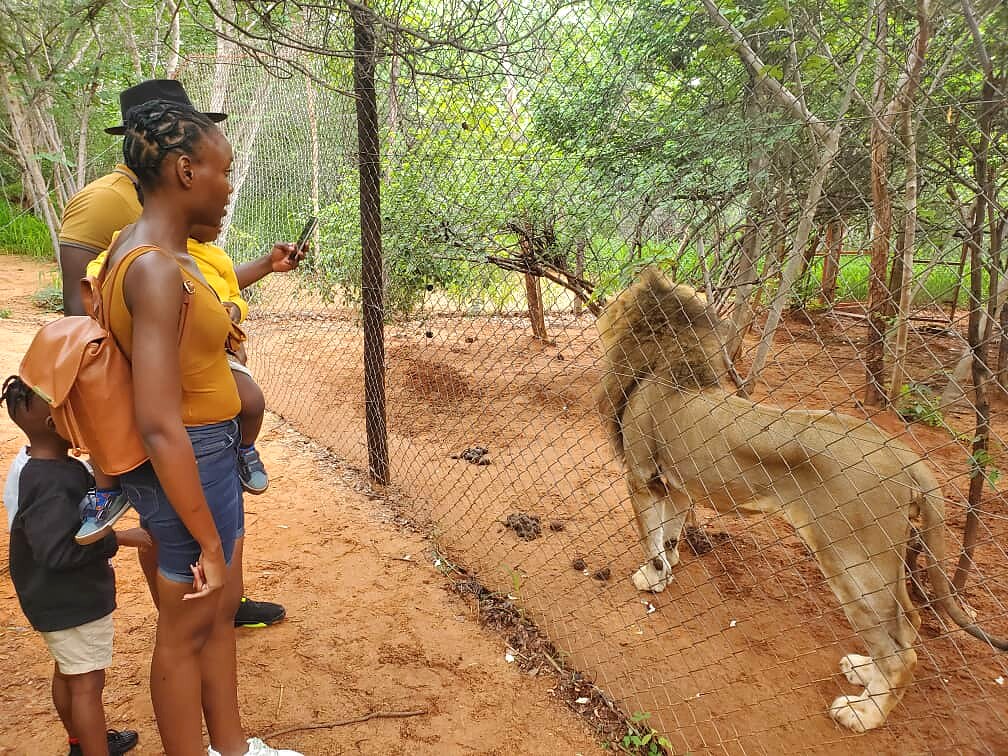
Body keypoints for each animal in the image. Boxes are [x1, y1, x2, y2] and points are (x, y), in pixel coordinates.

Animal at [596, 266, 1007, 733]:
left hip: (850, 561)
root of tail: (905, 457)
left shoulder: (641, 476)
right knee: (909, 623)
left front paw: (651, 578)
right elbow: (669, 532)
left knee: (900, 650)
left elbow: (650, 536)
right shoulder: (678, 484)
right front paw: (669, 567)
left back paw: (862, 713)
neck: (670, 362)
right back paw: (862, 670)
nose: (604, 300)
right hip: (881, 564)